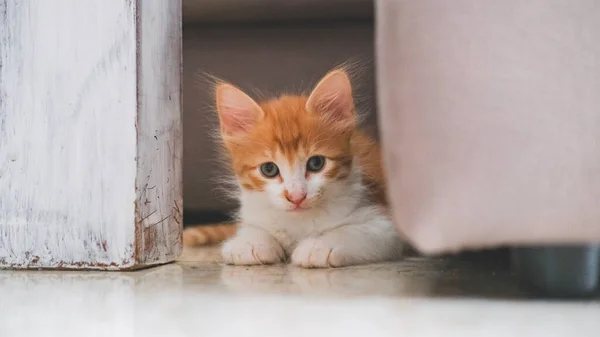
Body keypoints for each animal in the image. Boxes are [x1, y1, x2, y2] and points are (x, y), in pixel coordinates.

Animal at [209, 69, 400, 268]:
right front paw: (250, 243)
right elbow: (254, 229)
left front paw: (319, 246)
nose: (296, 196)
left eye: (316, 163)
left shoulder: (385, 223)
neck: (297, 222)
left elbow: (354, 232)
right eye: (269, 169)